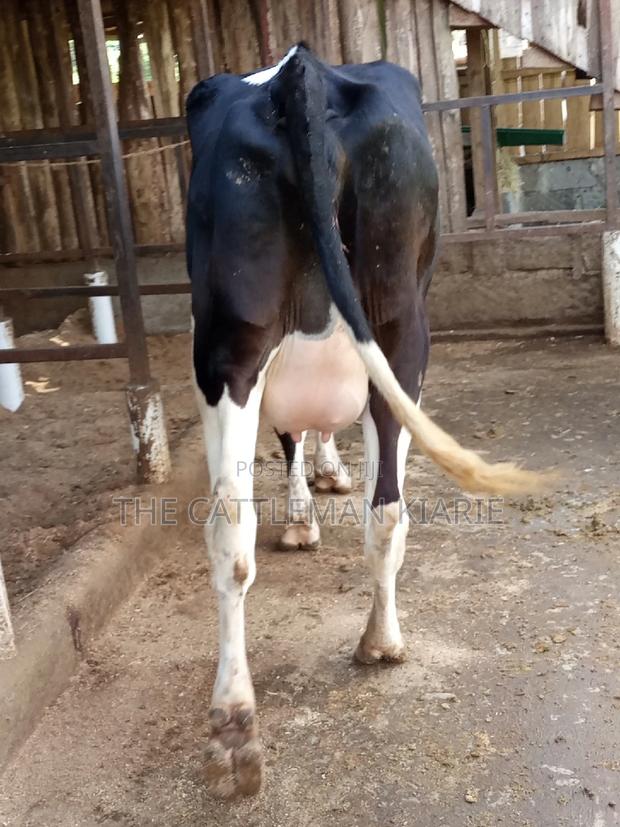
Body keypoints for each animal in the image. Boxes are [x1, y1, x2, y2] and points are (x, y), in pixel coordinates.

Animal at [186, 43, 544, 798]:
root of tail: (304, 71)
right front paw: (320, 491)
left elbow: (295, 440)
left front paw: (311, 498)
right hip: (402, 334)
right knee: (387, 511)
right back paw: (381, 641)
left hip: (230, 344)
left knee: (230, 525)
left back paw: (234, 727)